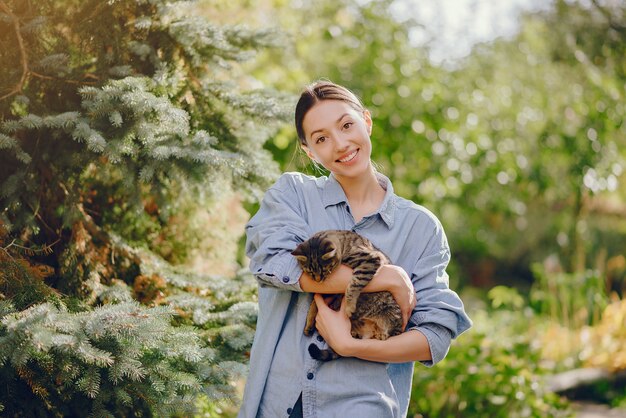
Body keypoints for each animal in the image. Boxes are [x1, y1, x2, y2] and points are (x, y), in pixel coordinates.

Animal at [290, 230, 402, 360]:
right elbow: (314, 304)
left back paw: (381, 334)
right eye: (310, 272)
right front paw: (309, 322)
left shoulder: (370, 261)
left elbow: (353, 285)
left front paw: (349, 306)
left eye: (324, 270)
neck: (345, 245)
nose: (318, 280)